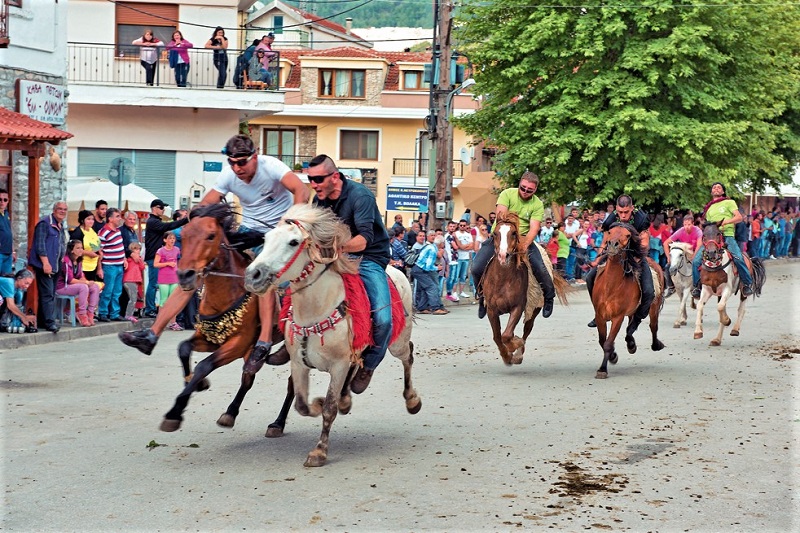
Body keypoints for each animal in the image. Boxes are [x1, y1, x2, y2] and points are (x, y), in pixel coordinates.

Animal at [156, 203, 294, 436]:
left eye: (211, 235)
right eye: (184, 235)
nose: (185, 275)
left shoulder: (239, 344)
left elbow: (204, 366)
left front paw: (175, 412)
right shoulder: (211, 337)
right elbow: (183, 348)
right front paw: (196, 383)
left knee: (293, 383)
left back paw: (278, 423)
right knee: (250, 377)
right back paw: (232, 413)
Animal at [244, 204, 422, 466]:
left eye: (294, 242)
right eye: (265, 240)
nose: (253, 275)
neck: (317, 308)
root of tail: (397, 270)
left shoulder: (338, 365)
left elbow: (329, 407)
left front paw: (319, 452)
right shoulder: (299, 363)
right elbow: (301, 404)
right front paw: (317, 405)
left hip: (396, 342)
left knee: (407, 355)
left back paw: (411, 400)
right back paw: (347, 397)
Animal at [482, 212, 568, 366]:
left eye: (514, 233)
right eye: (495, 234)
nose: (503, 256)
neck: (502, 280)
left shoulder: (518, 307)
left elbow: (506, 335)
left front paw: (514, 347)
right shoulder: (491, 309)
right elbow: (497, 336)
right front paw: (506, 356)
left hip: (535, 308)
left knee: (527, 328)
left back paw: (519, 353)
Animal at [592, 221, 664, 378]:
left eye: (627, 235)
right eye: (610, 232)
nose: (612, 245)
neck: (610, 287)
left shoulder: (617, 317)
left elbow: (608, 343)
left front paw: (602, 369)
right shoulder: (599, 316)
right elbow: (602, 341)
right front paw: (613, 356)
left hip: (653, 307)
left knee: (652, 326)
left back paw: (654, 344)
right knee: (632, 325)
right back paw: (631, 343)